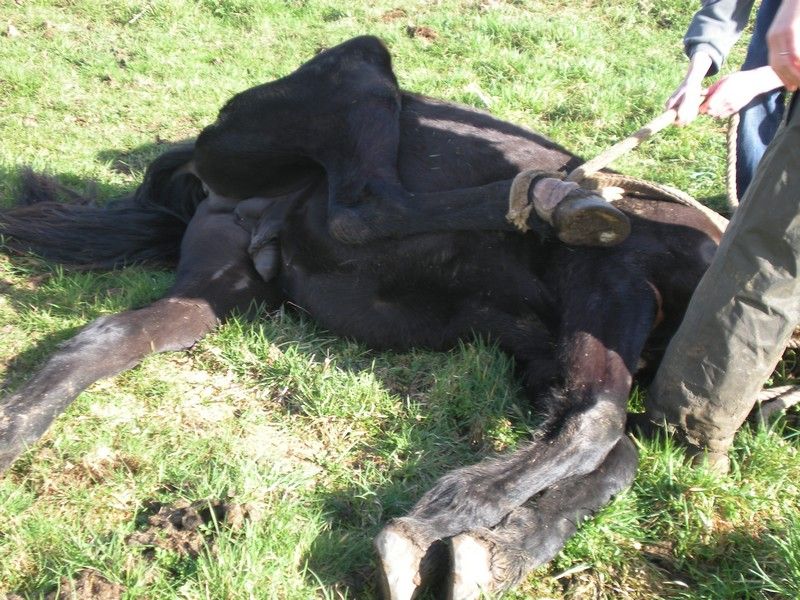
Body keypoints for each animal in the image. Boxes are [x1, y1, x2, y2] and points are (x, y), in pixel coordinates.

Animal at [0, 36, 722, 599]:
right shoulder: (608, 283)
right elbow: (597, 428)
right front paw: (432, 528)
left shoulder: (549, 355)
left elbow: (608, 452)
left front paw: (493, 554)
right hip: (358, 70)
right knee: (365, 206)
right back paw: (556, 197)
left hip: (217, 288)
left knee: (108, 338)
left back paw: (15, 429)